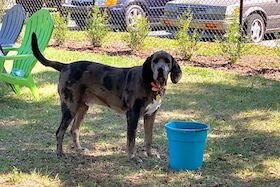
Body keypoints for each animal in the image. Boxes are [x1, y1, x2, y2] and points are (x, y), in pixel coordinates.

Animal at [31, 32, 182, 159]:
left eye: (167, 61)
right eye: (155, 61)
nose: (161, 70)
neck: (151, 83)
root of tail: (65, 66)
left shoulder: (150, 115)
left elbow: (149, 138)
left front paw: (150, 154)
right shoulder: (132, 115)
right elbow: (131, 139)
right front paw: (132, 157)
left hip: (82, 108)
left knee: (74, 130)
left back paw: (79, 149)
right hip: (70, 107)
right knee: (60, 131)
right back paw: (60, 153)